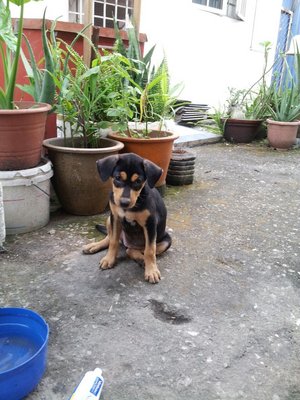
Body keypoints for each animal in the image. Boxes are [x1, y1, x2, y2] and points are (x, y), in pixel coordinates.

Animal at [82, 152, 171, 282]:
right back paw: (94, 246)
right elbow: (113, 241)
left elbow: (150, 250)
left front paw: (151, 271)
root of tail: (126, 243)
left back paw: (141, 259)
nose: (124, 202)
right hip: (109, 220)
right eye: (118, 178)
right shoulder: (115, 217)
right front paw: (109, 259)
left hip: (166, 240)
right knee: (111, 239)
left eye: (138, 181)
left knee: (135, 250)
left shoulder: (150, 223)